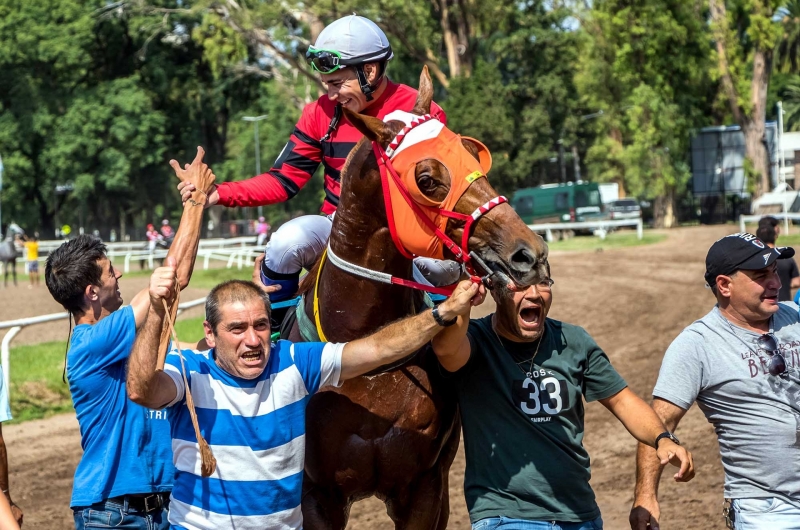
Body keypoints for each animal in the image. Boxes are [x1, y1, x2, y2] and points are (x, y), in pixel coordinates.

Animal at [288, 68, 552, 524]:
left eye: (473, 154)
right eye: (426, 180)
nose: (529, 253)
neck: (366, 354)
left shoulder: (425, 487)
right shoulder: (317, 496)